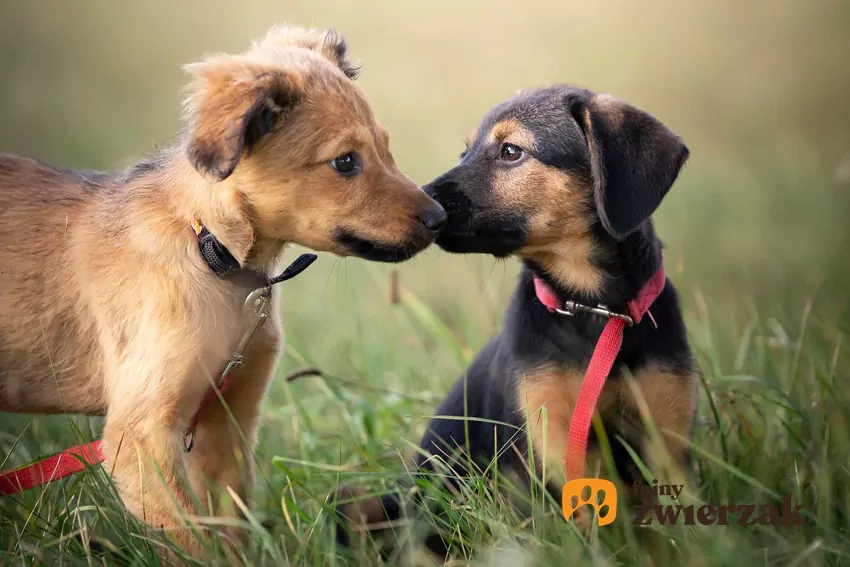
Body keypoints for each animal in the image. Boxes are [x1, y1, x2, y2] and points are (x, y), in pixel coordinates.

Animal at [0, 25, 440, 556]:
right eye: (345, 162)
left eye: (385, 148)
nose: (440, 218)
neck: (214, 253)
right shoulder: (140, 437)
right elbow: (196, 542)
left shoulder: (223, 428)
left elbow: (232, 532)